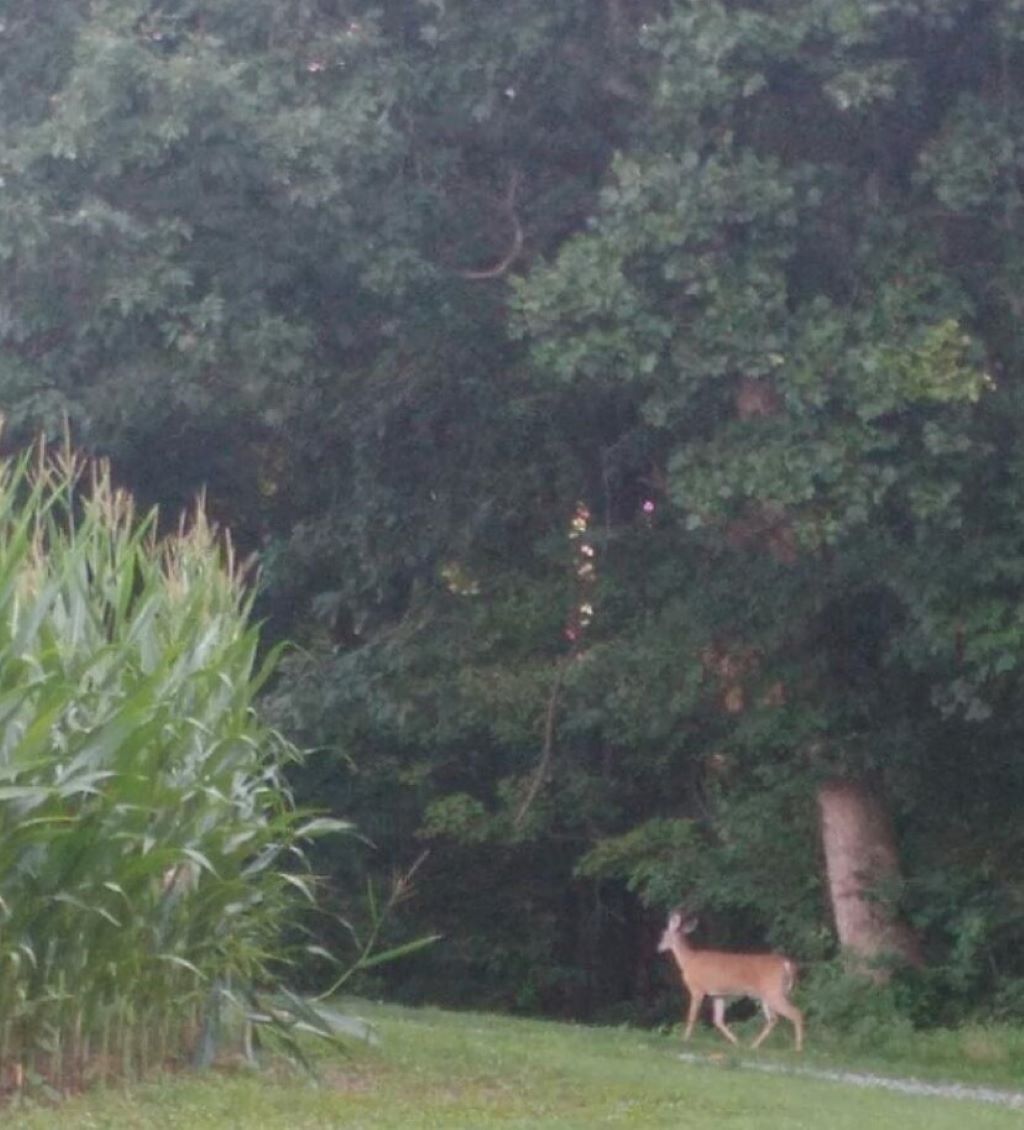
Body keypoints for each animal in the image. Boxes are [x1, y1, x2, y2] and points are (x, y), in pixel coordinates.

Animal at [657, 909, 804, 1052]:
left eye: (664, 933)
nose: (658, 947)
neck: (688, 960)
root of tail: (786, 964)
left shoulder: (697, 989)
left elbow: (692, 1015)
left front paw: (685, 1039)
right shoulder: (718, 994)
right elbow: (718, 1020)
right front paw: (736, 1042)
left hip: (774, 992)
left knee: (796, 1013)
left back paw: (798, 1048)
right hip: (769, 995)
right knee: (773, 1019)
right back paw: (753, 1046)